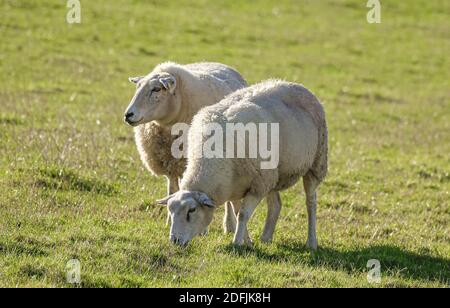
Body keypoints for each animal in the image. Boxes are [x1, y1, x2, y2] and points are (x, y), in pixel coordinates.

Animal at [123, 62, 246, 231]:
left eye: (157, 89)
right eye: (138, 87)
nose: (128, 115)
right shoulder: (170, 165)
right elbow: (172, 190)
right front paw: (169, 221)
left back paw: (229, 225)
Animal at [158, 79, 326, 250]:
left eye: (191, 210)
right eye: (170, 210)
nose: (175, 241)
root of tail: (294, 84)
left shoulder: (257, 185)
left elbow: (243, 215)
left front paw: (237, 242)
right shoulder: (235, 186)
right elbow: (237, 212)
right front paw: (248, 241)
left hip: (316, 162)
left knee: (311, 202)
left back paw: (311, 242)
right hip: (272, 174)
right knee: (276, 204)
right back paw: (266, 238)